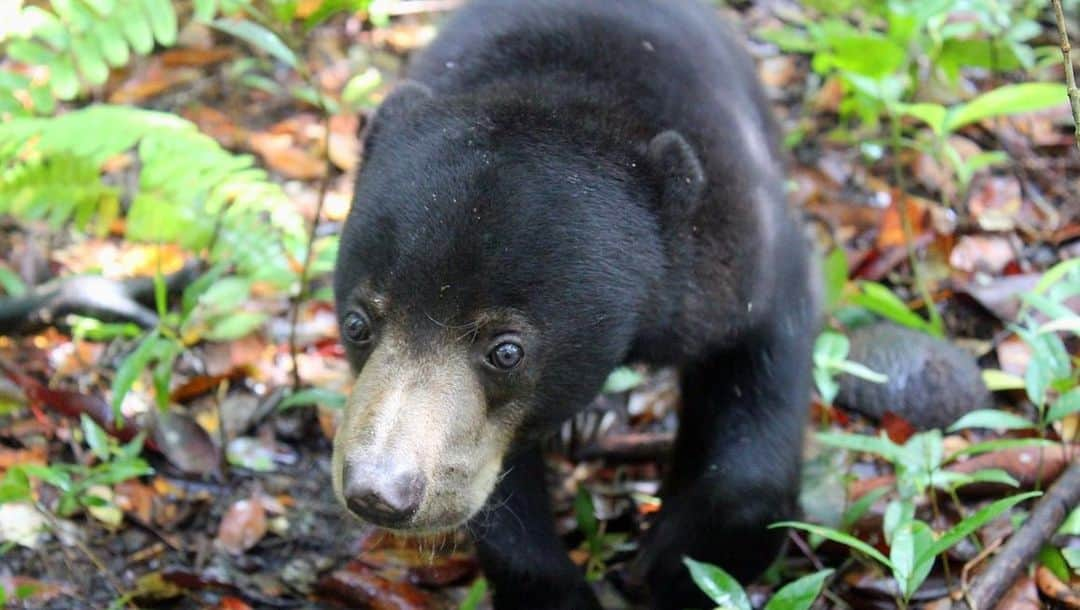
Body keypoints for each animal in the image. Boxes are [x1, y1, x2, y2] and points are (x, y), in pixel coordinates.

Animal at [332, 1, 812, 604]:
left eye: (506, 352)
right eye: (357, 324)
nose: (377, 492)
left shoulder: (733, 245)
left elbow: (767, 344)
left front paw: (677, 564)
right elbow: (494, 480)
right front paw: (552, 587)